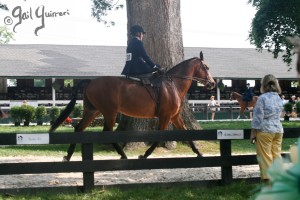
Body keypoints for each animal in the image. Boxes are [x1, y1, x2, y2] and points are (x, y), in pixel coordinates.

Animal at [49, 52, 216, 161]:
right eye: (206, 67)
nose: (213, 83)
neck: (172, 84)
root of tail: (90, 82)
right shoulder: (165, 116)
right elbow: (159, 136)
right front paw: (145, 154)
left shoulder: (175, 116)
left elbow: (187, 134)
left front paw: (199, 153)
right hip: (110, 112)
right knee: (107, 132)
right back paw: (123, 155)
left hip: (92, 111)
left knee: (78, 129)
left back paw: (68, 156)